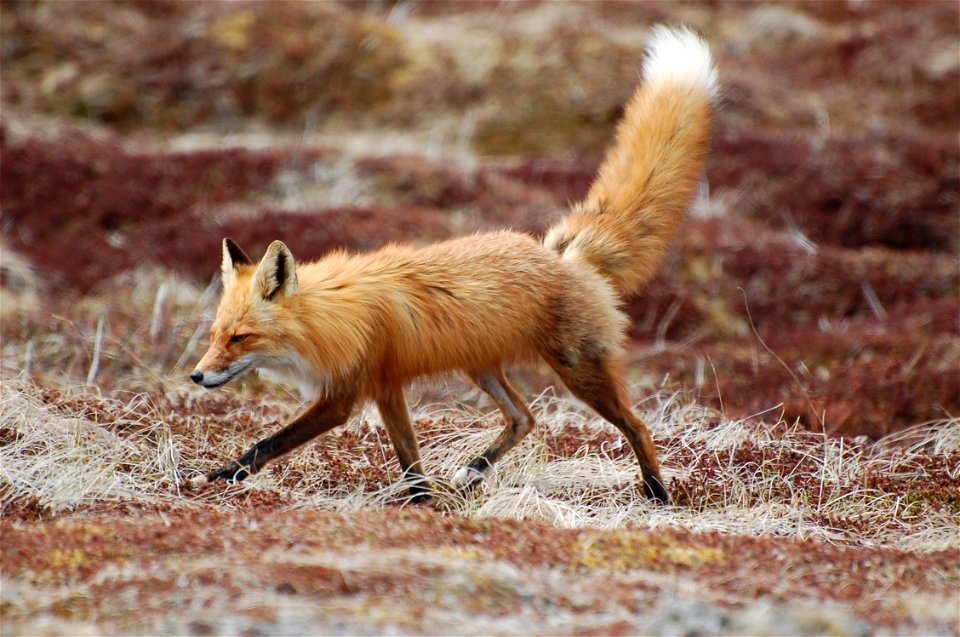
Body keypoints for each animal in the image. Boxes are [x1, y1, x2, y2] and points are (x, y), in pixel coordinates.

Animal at [188, 24, 716, 504]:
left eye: (240, 338)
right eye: (214, 334)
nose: (195, 376)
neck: (328, 317)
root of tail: (561, 253)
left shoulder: (346, 394)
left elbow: (266, 444)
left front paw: (218, 478)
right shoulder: (387, 387)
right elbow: (409, 460)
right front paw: (424, 504)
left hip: (580, 371)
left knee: (638, 425)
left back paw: (658, 493)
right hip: (481, 367)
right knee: (525, 417)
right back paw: (475, 470)